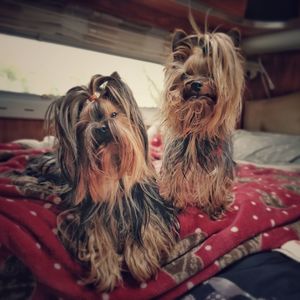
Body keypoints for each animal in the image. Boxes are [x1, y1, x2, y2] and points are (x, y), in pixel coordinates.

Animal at [46, 72, 178, 290]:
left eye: (114, 114)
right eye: (85, 123)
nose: (101, 127)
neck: (113, 168)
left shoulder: (148, 207)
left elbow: (147, 226)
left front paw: (141, 260)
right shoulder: (90, 214)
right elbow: (97, 234)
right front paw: (106, 269)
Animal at [159, 28, 244, 218]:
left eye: (211, 74)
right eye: (185, 74)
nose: (196, 83)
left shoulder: (219, 163)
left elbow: (215, 181)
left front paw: (215, 206)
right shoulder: (176, 160)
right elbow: (175, 178)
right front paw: (174, 203)